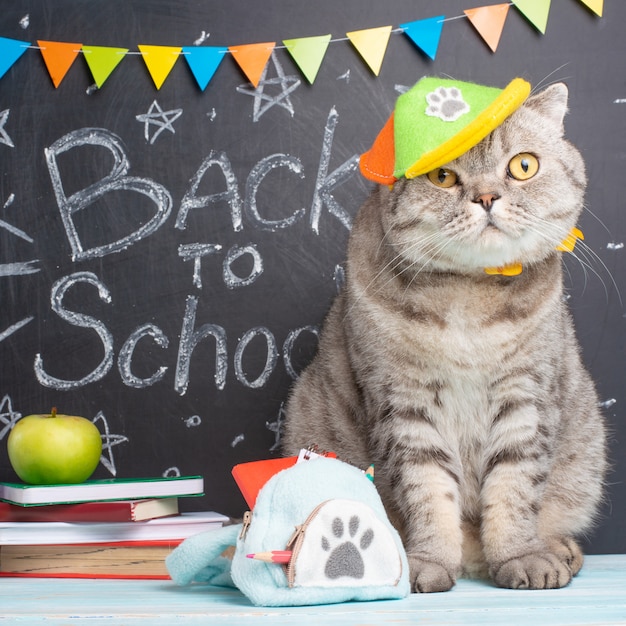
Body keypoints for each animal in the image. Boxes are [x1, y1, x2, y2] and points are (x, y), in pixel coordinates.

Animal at [282, 81, 604, 588]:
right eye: (442, 177)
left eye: (523, 165)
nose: (487, 197)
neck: (469, 299)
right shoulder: (404, 402)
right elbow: (429, 493)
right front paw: (428, 560)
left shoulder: (526, 396)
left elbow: (514, 489)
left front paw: (520, 556)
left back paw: (556, 549)